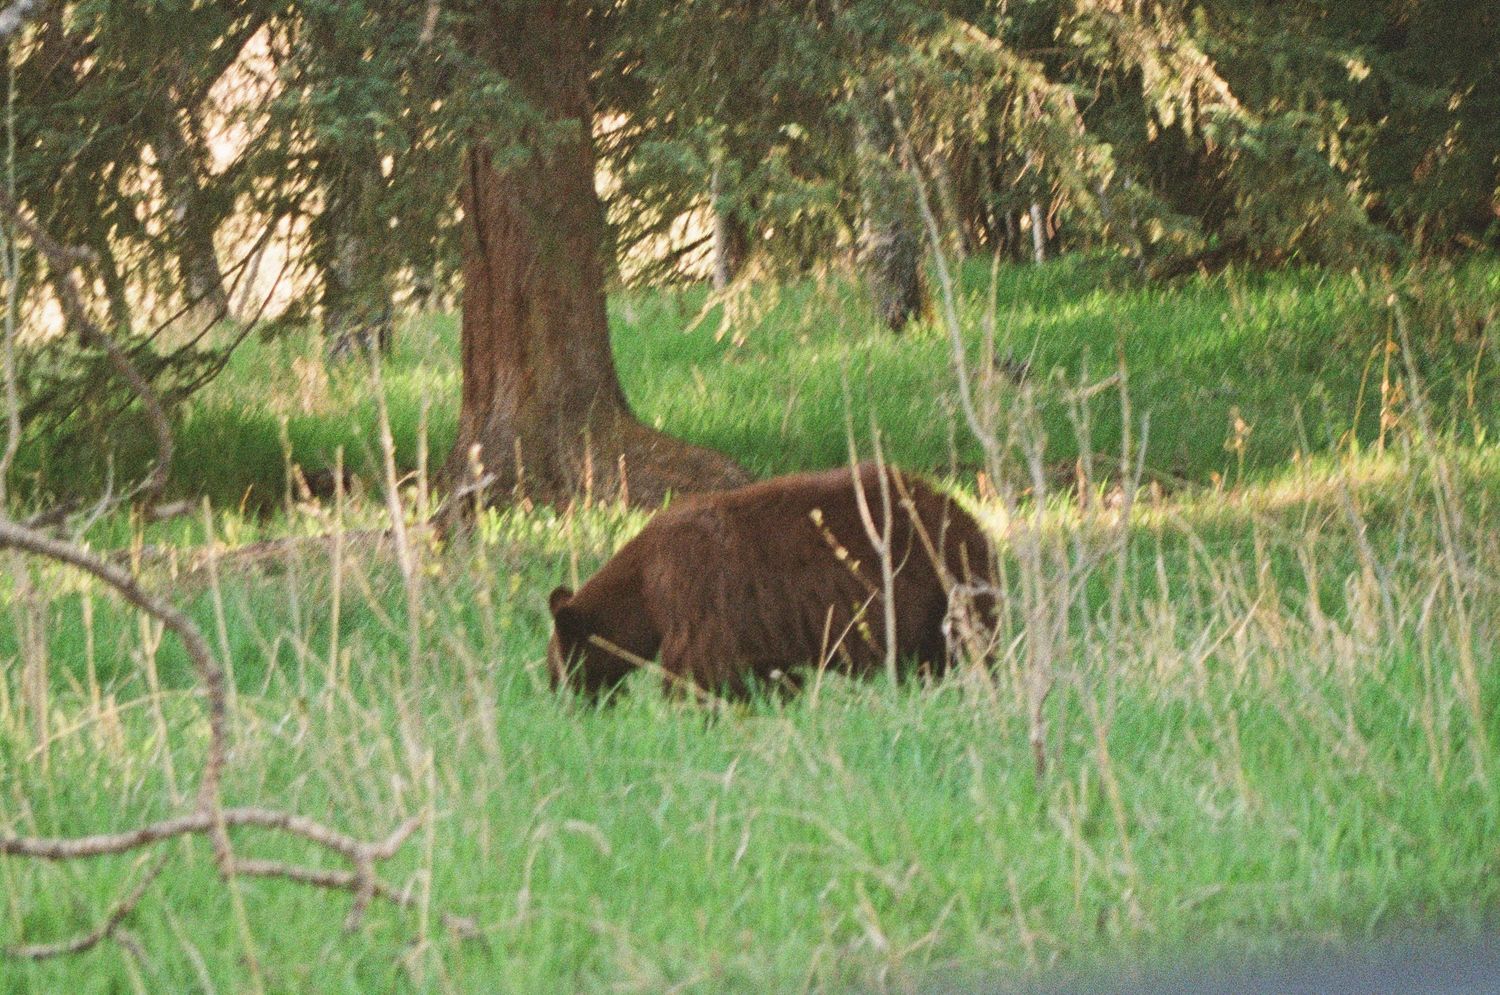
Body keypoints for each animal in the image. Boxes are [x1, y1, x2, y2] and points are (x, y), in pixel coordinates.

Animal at [547, 462, 997, 699]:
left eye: (559, 667)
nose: (564, 704)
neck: (643, 585)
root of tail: (971, 524)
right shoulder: (752, 628)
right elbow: (765, 672)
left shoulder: (695, 594)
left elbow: (698, 668)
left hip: (935, 587)